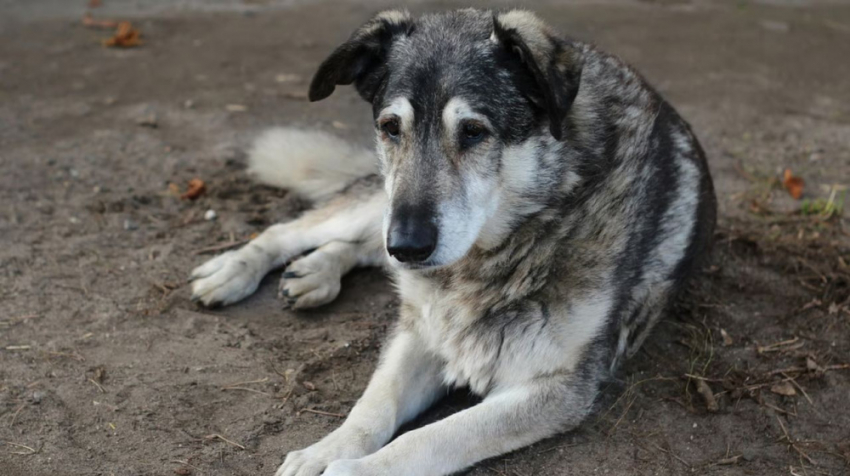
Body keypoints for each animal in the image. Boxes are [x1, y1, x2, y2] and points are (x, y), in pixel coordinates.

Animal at [189, 8, 712, 476]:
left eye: (474, 131)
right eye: (390, 127)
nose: (409, 246)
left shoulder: (557, 388)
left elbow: (429, 438)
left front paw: (350, 469)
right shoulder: (420, 332)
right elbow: (372, 408)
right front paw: (324, 451)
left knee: (362, 248)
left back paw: (317, 272)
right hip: (381, 204)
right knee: (298, 231)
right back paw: (237, 271)